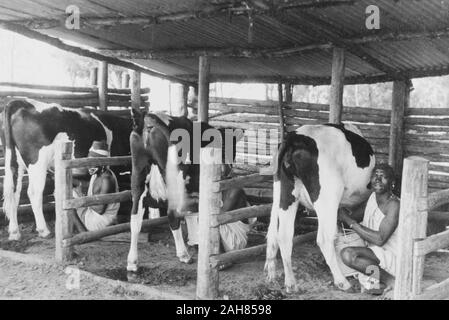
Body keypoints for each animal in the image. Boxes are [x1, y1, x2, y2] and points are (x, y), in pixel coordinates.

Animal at [2, 99, 132, 240]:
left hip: (14, 161)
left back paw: (14, 232)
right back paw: (44, 231)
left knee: (14, 192)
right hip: (37, 161)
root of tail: (22, 102)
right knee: (34, 192)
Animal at [264, 123, 372, 292]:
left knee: (283, 236)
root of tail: (294, 137)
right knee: (324, 239)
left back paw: (290, 283)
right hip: (327, 196)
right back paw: (341, 281)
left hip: (285, 194)